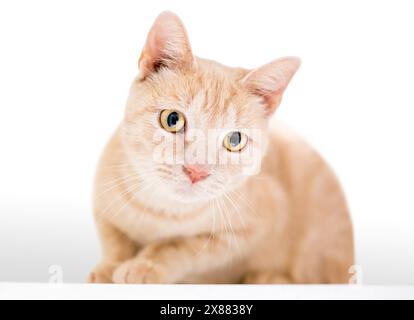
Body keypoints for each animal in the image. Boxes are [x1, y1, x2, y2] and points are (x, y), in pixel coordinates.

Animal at [87, 11, 352, 284]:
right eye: (172, 119)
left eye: (234, 140)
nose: (196, 171)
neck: (163, 212)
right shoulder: (101, 198)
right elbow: (115, 239)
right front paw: (109, 267)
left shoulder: (240, 235)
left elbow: (179, 246)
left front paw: (146, 264)